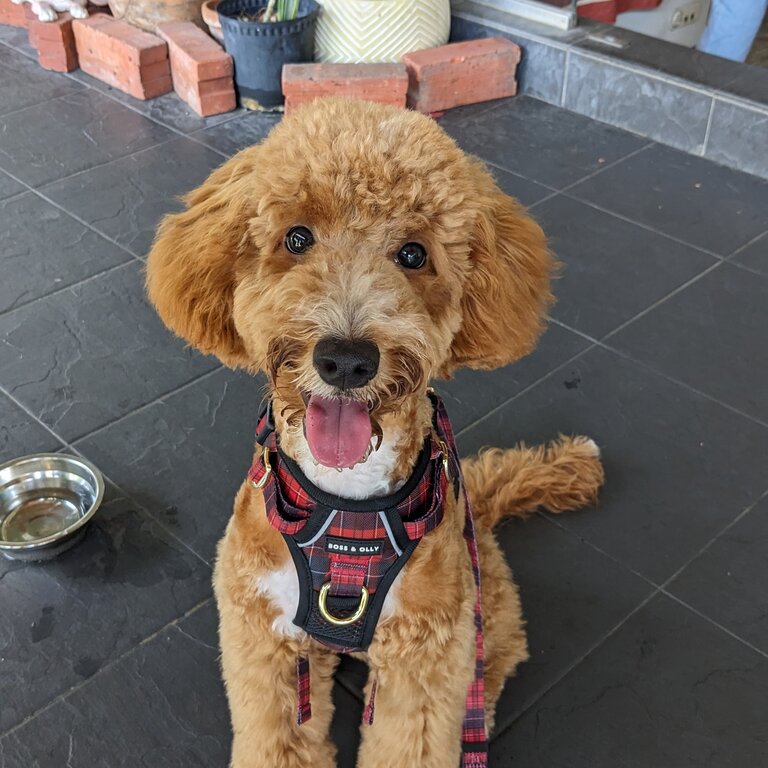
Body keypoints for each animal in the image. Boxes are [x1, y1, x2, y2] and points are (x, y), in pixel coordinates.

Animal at [146, 97, 608, 768]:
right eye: (297, 238)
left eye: (413, 254)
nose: (345, 359)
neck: (346, 506)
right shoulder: (265, 633)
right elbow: (276, 737)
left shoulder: (425, 654)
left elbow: (411, 740)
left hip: (483, 609)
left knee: (494, 666)